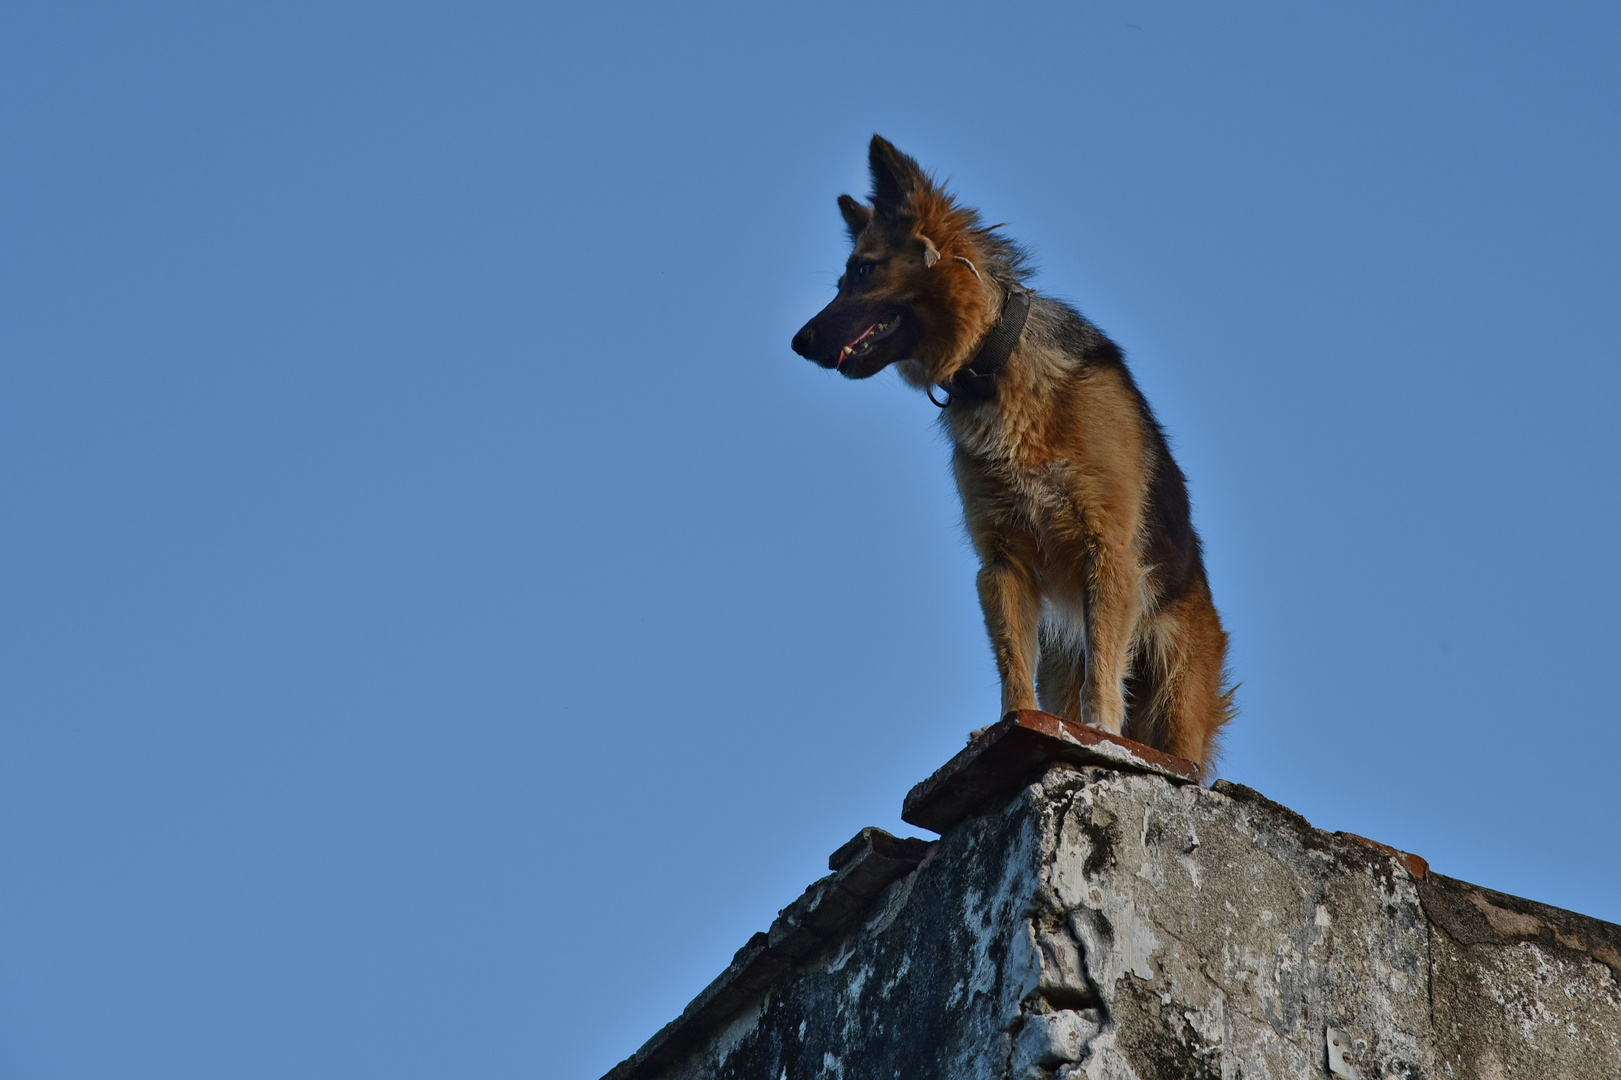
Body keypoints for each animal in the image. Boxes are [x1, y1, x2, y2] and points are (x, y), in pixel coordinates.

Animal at [791, 134, 1231, 775]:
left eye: (864, 271)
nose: (798, 343)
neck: (995, 368)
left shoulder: (1107, 548)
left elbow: (1104, 668)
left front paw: (1100, 730)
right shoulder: (1003, 562)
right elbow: (1012, 664)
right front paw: (1010, 724)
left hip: (1174, 685)